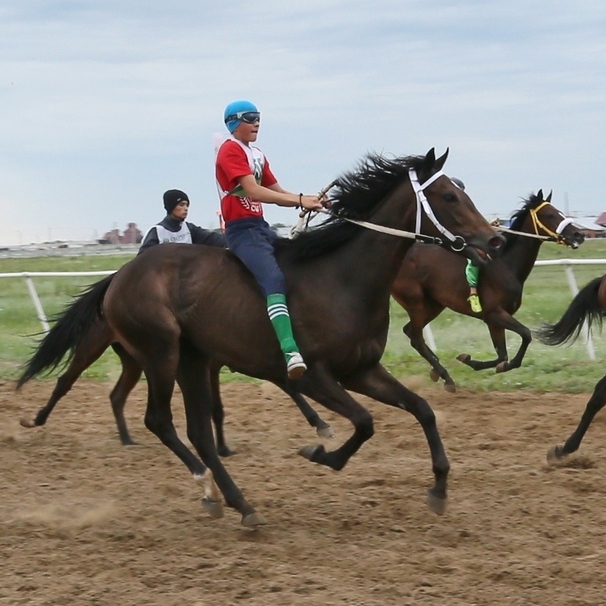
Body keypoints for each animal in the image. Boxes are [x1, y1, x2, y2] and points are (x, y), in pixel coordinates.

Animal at [16, 148, 506, 528]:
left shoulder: (362, 370)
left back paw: (233, 500)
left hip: (193, 359)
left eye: (462, 190)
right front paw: (321, 453)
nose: (495, 240)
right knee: (158, 420)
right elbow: (364, 422)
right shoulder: (315, 375)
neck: (341, 278)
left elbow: (423, 410)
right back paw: (214, 490)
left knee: (196, 430)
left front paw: (439, 488)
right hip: (161, 352)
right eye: (449, 195)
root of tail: (120, 276)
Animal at [392, 191, 588, 394]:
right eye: (549, 215)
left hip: (433, 305)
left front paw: (471, 360)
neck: (506, 265)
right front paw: (476, 361)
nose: (578, 234)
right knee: (416, 338)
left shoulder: (494, 320)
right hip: (415, 300)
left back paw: (437, 370)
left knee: (410, 331)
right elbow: (525, 334)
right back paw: (445, 375)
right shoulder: (495, 314)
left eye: (559, 212)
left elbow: (502, 356)